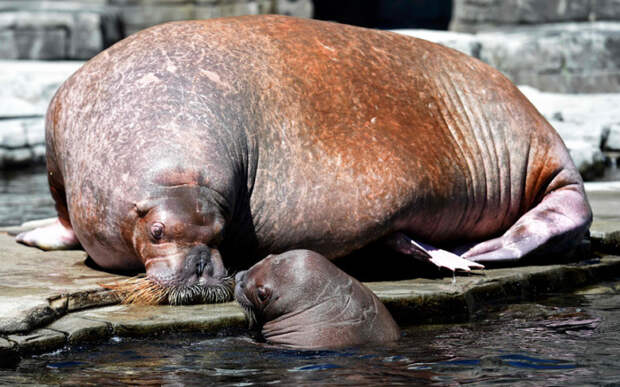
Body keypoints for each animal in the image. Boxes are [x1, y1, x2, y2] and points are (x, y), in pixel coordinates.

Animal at [18, 15, 592, 304]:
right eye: (156, 232)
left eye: (221, 230)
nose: (203, 269)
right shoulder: (59, 167)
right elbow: (65, 216)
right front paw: (32, 231)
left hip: (543, 157)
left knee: (565, 205)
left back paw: (476, 251)